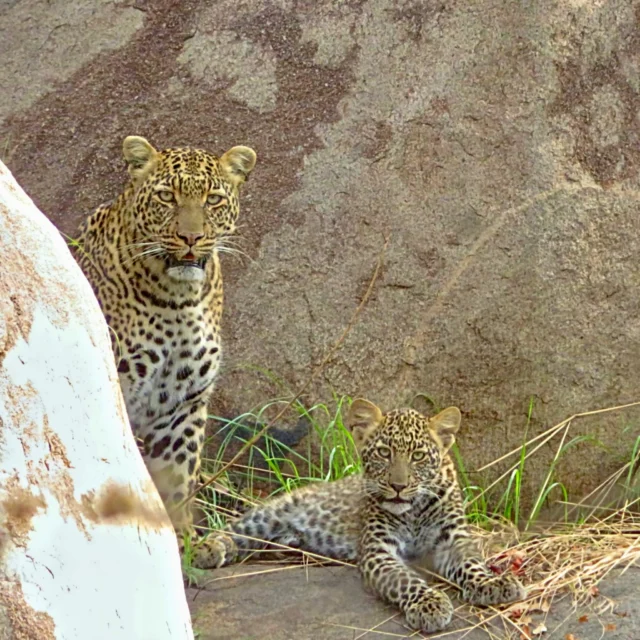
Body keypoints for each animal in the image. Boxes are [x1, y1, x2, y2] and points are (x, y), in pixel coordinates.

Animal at [74, 135, 256, 560]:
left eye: (212, 199)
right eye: (166, 196)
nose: (191, 238)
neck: (178, 298)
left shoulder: (182, 403)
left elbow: (177, 477)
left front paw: (186, 542)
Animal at [202, 399, 525, 633]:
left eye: (418, 456)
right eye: (383, 452)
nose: (398, 486)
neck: (414, 511)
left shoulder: (453, 539)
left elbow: (471, 564)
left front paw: (493, 584)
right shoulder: (378, 550)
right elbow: (405, 580)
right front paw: (430, 604)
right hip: (270, 513)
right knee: (233, 529)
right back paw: (209, 550)